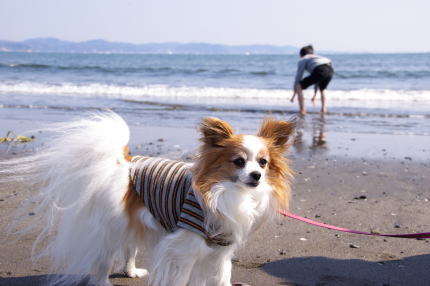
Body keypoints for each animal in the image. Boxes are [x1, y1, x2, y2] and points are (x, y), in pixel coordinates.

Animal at [3, 113, 294, 286]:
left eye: (263, 163)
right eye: (239, 162)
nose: (256, 176)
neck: (225, 193)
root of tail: (124, 163)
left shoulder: (221, 250)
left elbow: (222, 278)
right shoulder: (183, 250)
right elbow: (181, 278)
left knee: (128, 249)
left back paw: (131, 272)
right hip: (111, 227)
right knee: (102, 259)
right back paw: (104, 281)